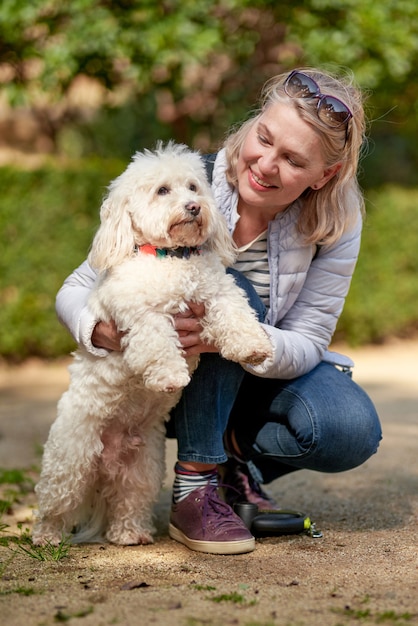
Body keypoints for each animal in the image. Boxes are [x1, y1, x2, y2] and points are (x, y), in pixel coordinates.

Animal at [33, 143, 274, 544]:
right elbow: (157, 340)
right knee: (55, 502)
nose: (193, 207)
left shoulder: (217, 292)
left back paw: (131, 534)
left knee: (129, 501)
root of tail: (105, 464)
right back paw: (47, 536)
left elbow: (236, 312)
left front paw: (252, 345)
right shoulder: (140, 313)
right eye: (162, 190)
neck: (172, 258)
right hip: (71, 461)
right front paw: (170, 375)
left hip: (143, 465)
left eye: (193, 187)